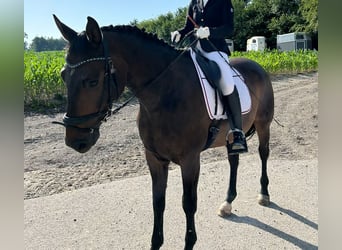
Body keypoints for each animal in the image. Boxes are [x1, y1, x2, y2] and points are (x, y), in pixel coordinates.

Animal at [53, 15, 276, 250]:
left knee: (263, 153)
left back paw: (264, 194)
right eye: (63, 76)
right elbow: (158, 202)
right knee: (234, 160)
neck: (165, 94)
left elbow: (188, 204)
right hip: (232, 135)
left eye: (92, 81)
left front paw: (189, 243)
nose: (75, 141)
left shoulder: (190, 160)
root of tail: (256, 65)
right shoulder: (154, 158)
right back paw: (227, 203)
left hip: (263, 125)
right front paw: (155, 243)